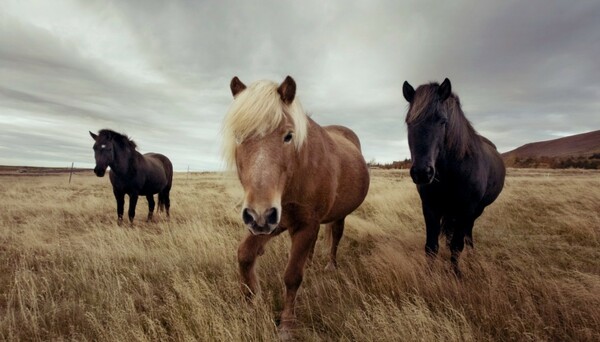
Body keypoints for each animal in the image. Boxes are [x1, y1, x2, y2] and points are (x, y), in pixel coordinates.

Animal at [221, 76, 368, 336]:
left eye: (288, 136)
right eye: (238, 136)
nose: (259, 214)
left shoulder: (303, 224)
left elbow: (292, 276)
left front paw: (287, 324)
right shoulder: (274, 223)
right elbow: (245, 256)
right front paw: (251, 303)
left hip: (337, 217)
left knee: (336, 237)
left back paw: (330, 265)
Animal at [404, 78, 506, 276]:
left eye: (443, 121)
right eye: (409, 122)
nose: (422, 173)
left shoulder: (466, 209)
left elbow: (456, 246)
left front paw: (456, 274)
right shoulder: (430, 207)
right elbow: (431, 246)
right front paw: (429, 275)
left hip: (476, 210)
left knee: (468, 232)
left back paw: (472, 255)